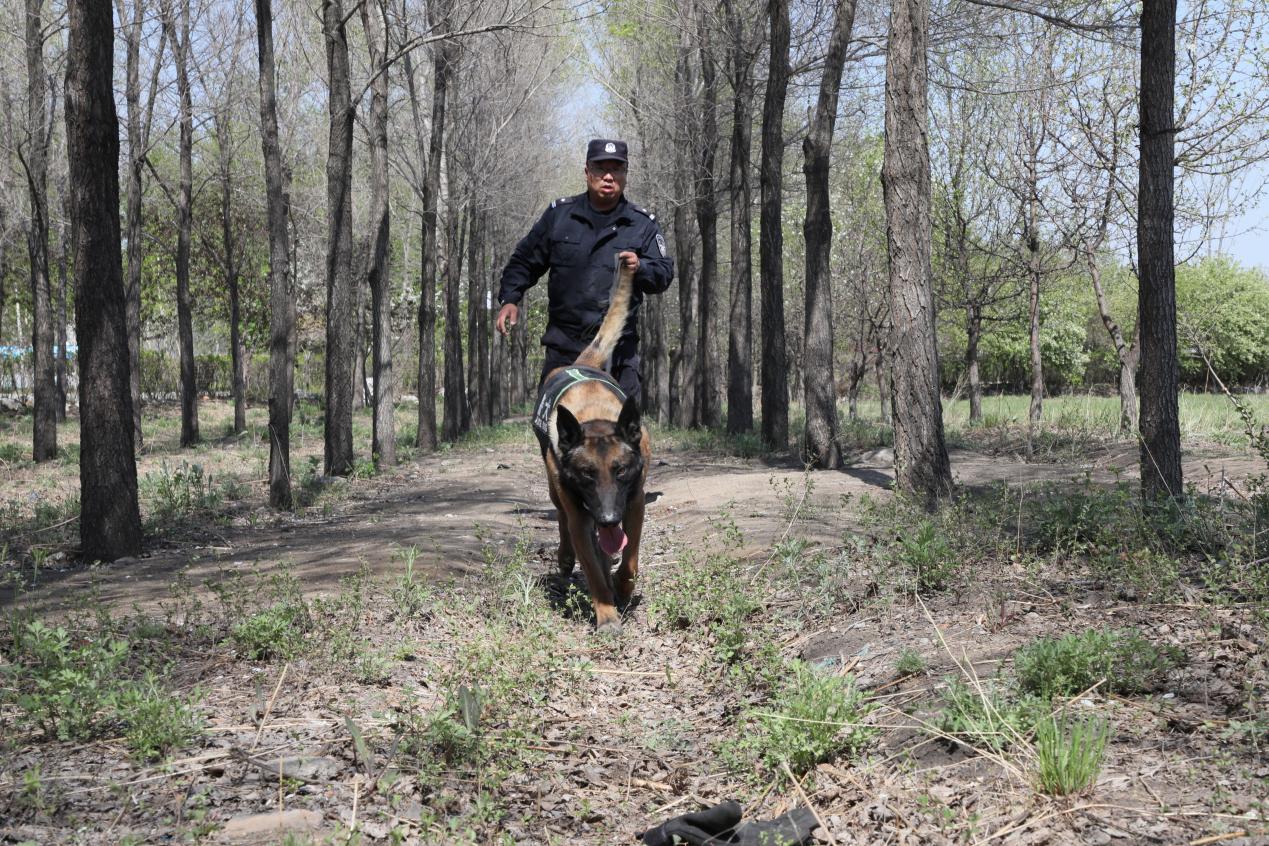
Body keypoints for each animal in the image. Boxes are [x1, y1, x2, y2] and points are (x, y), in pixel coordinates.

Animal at [530, 254, 644, 631]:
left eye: (620, 470)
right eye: (586, 474)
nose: (608, 518)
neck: (594, 420)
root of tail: (580, 362)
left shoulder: (634, 501)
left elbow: (630, 555)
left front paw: (622, 586)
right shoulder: (581, 516)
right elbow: (592, 567)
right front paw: (606, 612)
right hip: (559, 494)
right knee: (563, 522)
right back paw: (567, 558)